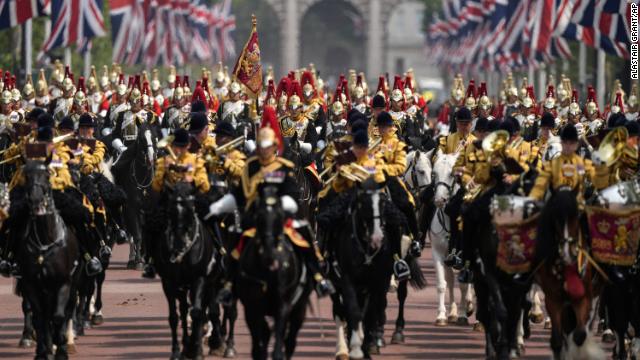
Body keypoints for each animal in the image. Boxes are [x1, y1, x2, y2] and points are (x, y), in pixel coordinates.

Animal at [13, 161, 80, 360]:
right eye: (26, 175)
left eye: (48, 175)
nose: (35, 201)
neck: (44, 241)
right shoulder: (30, 283)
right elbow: (39, 316)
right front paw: (43, 350)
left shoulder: (63, 283)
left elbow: (59, 316)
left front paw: (61, 349)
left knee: (67, 310)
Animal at [152, 183, 220, 360]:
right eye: (170, 212)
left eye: (191, 210)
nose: (178, 247)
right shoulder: (168, 282)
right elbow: (174, 317)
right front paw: (177, 351)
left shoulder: (199, 279)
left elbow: (197, 313)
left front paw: (196, 350)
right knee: (183, 310)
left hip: (210, 282)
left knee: (206, 309)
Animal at [236, 186, 314, 360]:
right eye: (258, 216)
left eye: (280, 216)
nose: (269, 255)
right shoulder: (252, 307)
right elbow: (260, 342)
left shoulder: (283, 304)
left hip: (299, 309)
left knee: (290, 340)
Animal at [428, 153, 472, 328]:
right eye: (434, 173)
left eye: (453, 174)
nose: (439, 200)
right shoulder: (439, 253)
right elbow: (442, 284)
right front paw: (441, 315)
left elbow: (464, 285)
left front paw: (463, 314)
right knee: (452, 280)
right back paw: (453, 312)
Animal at [536, 190, 604, 358]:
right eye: (554, 216)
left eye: (577, 215)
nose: (567, 254)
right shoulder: (553, 299)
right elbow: (557, 340)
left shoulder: (584, 298)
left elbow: (579, 335)